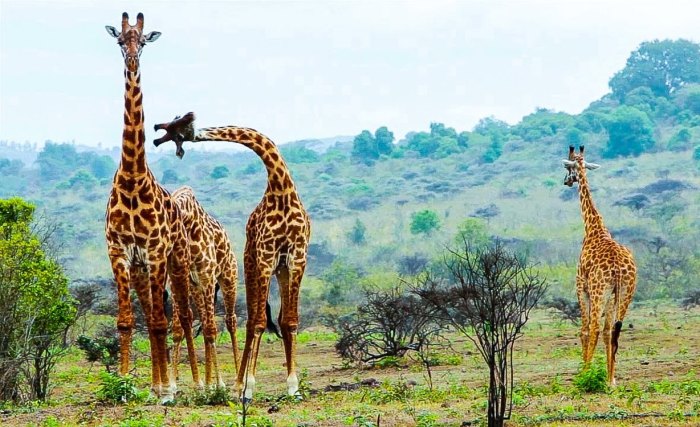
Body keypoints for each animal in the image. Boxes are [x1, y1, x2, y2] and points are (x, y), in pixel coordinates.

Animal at [170, 186, 241, 388]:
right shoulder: (188, 281)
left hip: (228, 278)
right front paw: (186, 382)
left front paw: (218, 384)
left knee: (230, 321)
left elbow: (210, 329)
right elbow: (180, 328)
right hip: (198, 288)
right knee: (203, 319)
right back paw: (208, 380)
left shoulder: (207, 277)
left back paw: (237, 378)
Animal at [560, 145, 636, 386]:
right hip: (624, 292)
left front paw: (584, 373)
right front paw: (607, 377)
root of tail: (619, 269)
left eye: (569, 167)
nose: (566, 181)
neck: (593, 226)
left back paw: (587, 375)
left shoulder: (580, 285)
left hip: (598, 290)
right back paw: (611, 380)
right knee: (613, 330)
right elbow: (606, 331)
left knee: (593, 327)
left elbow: (584, 329)